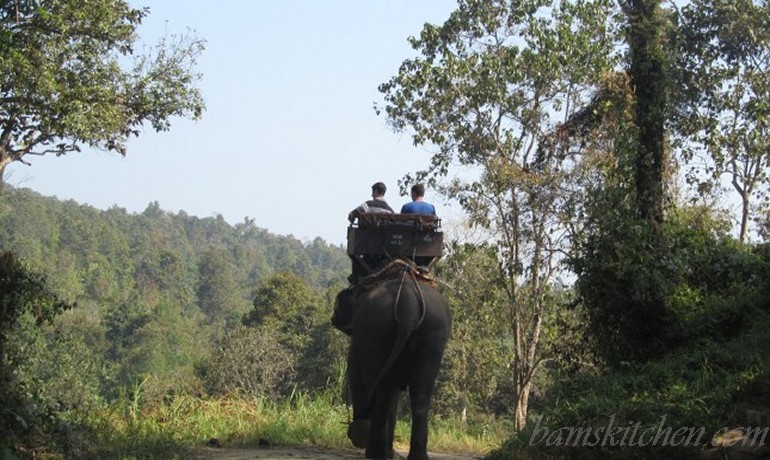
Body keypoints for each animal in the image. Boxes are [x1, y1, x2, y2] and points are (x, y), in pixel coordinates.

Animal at [336, 274, 450, 458]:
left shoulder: (357, 343)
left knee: (382, 390)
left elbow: (357, 378)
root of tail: (408, 303)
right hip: (433, 337)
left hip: (376, 332)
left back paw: (374, 452)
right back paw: (415, 456)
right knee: (420, 393)